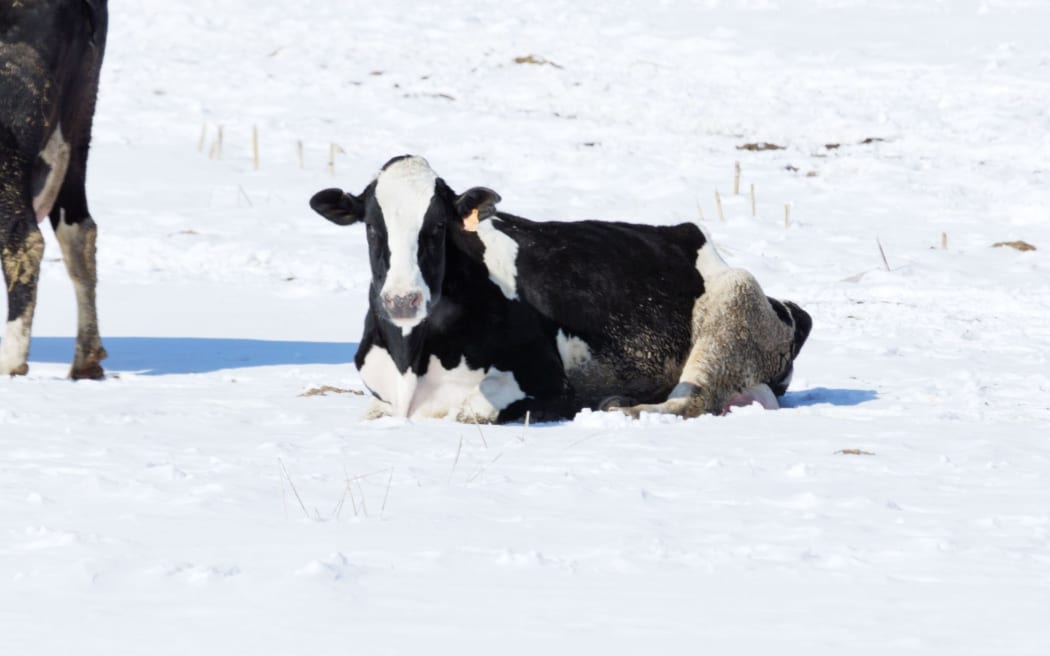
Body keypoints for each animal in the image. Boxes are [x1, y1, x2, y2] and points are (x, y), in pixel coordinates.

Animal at [310, 155, 810, 421]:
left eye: (437, 227)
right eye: (372, 227)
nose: (402, 300)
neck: (410, 360)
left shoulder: (550, 384)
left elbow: (471, 409)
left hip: (734, 306)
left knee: (692, 400)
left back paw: (618, 408)